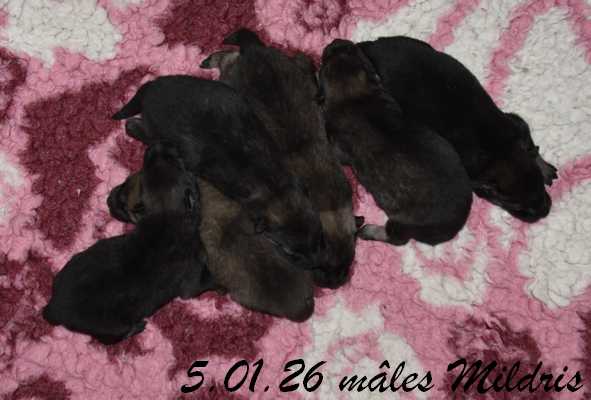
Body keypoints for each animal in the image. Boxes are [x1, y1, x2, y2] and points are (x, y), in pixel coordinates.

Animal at [43, 143, 212, 344]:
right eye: (177, 163)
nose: (156, 147)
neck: (166, 215)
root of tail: (53, 308)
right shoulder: (191, 280)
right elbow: (204, 281)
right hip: (111, 326)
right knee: (111, 337)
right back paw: (137, 327)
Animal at [112, 76, 325, 269]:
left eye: (319, 235)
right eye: (290, 252)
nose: (317, 264)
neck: (275, 188)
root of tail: (150, 89)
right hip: (158, 130)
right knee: (139, 130)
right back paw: (134, 126)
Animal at [201, 29, 358, 288]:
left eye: (347, 262)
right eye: (322, 266)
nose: (333, 285)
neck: (328, 204)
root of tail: (255, 50)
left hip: (289, 63)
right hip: (232, 80)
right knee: (228, 60)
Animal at [319, 39, 473, 246]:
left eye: (325, 58)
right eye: (348, 49)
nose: (336, 41)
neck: (353, 95)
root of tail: (455, 225)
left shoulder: (339, 145)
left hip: (404, 222)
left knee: (397, 238)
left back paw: (370, 230)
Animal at [358, 36, 557, 222]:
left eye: (539, 186)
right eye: (517, 206)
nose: (544, 212)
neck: (500, 151)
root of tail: (370, 47)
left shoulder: (516, 125)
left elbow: (529, 145)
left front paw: (544, 167)